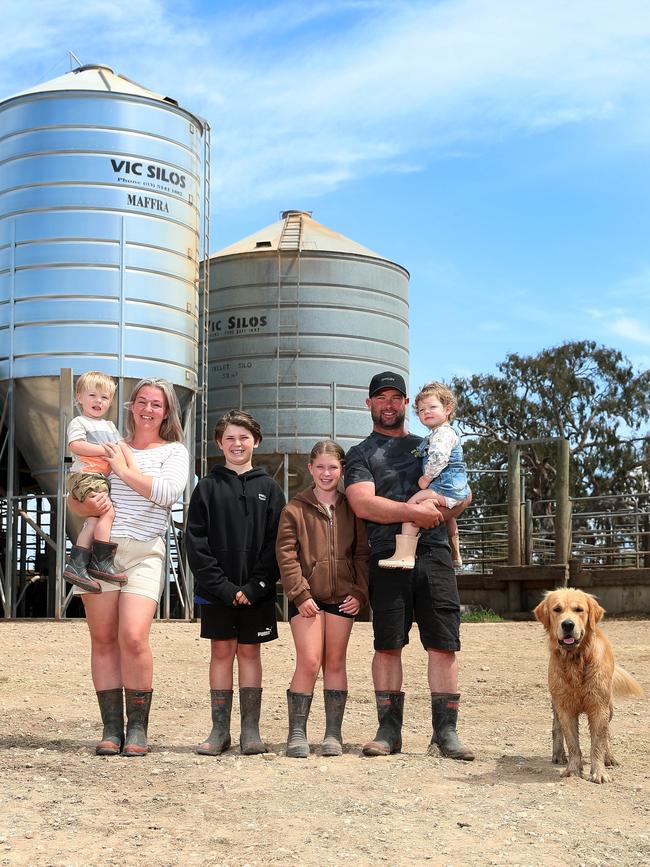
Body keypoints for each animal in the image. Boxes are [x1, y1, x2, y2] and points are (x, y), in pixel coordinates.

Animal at [536, 588, 640, 788]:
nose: (568, 625)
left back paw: (609, 757)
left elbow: (598, 743)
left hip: (609, 706)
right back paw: (558, 754)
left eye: (579, 610)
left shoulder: (599, 706)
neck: (577, 661)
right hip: (555, 702)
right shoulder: (565, 707)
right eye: (557, 609)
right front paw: (573, 770)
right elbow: (573, 744)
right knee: (556, 727)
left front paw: (599, 772)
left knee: (607, 734)